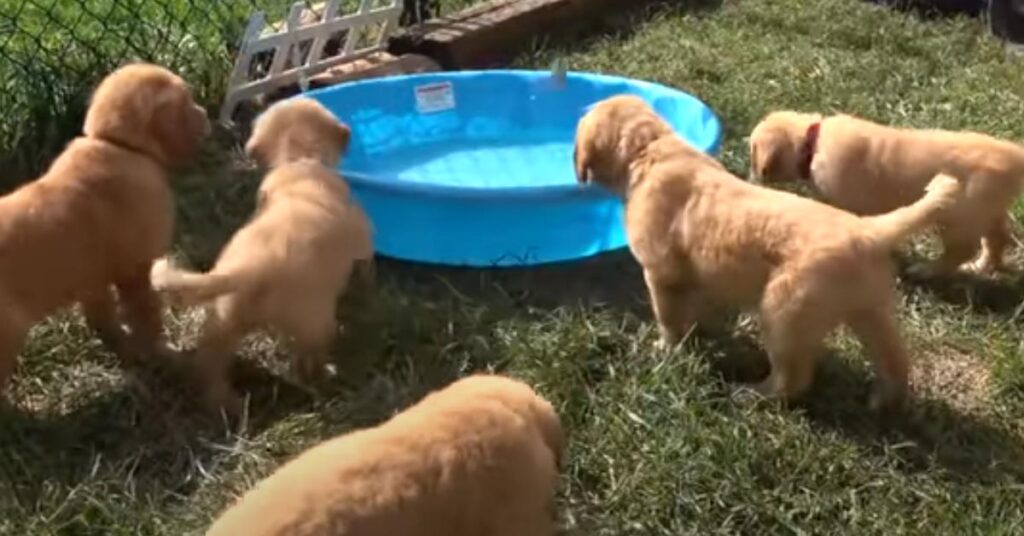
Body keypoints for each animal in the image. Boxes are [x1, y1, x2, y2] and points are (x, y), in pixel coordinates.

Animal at [0, 64, 207, 397]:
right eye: (187, 101)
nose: (205, 113)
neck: (118, 144)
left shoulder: (93, 278)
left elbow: (104, 317)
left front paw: (125, 347)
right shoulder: (135, 270)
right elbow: (146, 315)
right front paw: (164, 353)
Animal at [149, 97, 374, 416]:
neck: (298, 161)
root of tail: (248, 270)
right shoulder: (363, 233)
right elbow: (367, 263)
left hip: (222, 323)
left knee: (209, 367)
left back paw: (225, 404)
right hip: (314, 323)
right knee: (306, 362)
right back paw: (324, 377)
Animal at [577, 95, 966, 407]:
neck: (652, 151)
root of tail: (868, 230)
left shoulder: (661, 274)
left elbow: (669, 319)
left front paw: (666, 350)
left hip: (784, 312)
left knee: (793, 378)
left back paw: (755, 394)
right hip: (872, 310)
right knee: (894, 359)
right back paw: (885, 400)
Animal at [745, 110, 1024, 274]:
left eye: (752, 153)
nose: (750, 179)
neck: (813, 143)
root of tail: (1014, 157)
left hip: (960, 218)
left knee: (961, 249)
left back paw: (927, 269)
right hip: (987, 211)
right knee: (999, 237)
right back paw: (983, 266)